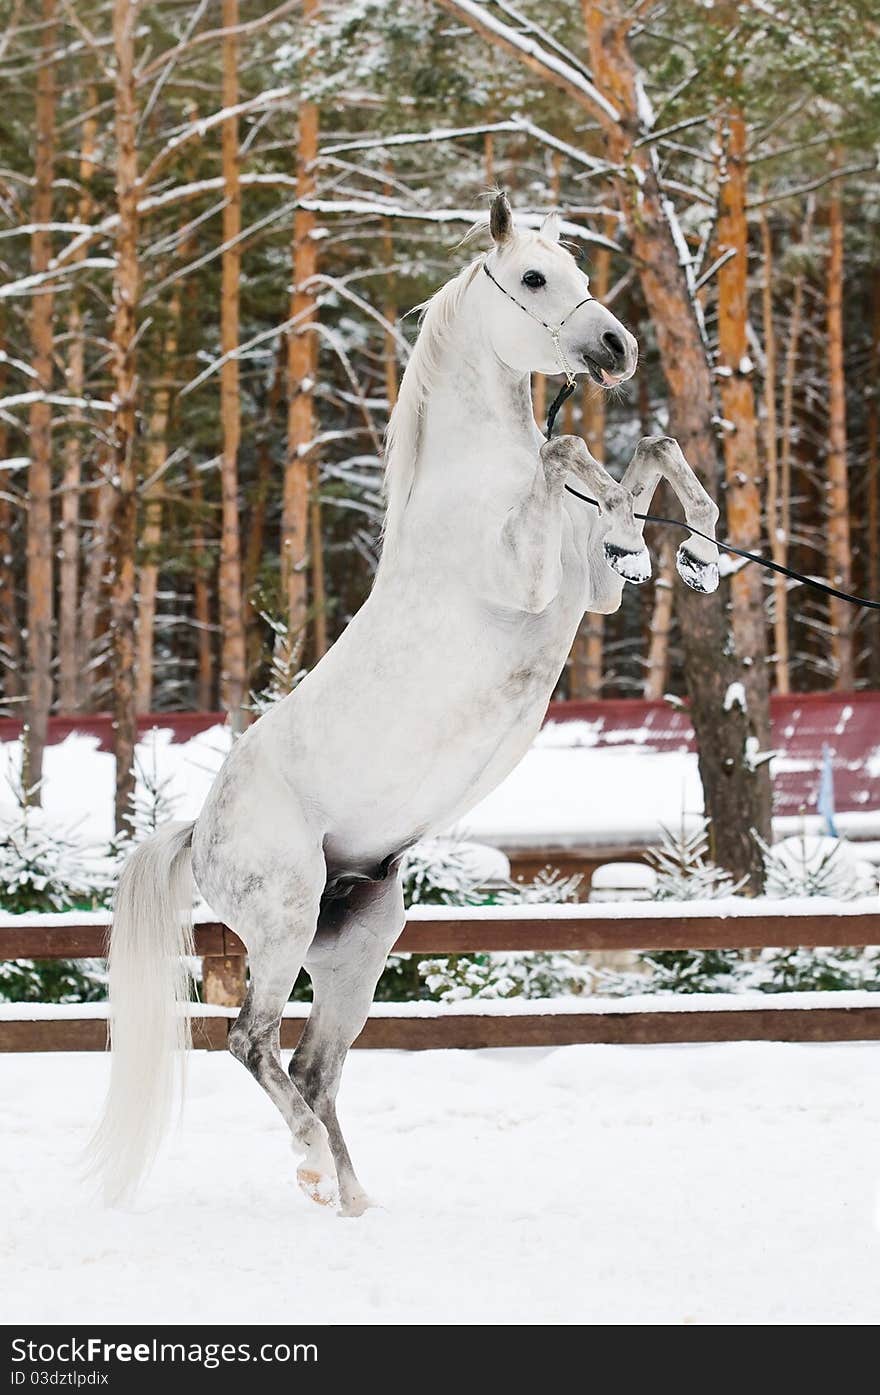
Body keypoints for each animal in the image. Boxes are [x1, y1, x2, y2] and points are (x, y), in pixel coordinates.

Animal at [92, 193, 719, 1210]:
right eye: (536, 276)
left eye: (579, 269)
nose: (618, 346)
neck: (478, 485)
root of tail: (200, 830)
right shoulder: (536, 581)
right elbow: (571, 448)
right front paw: (643, 531)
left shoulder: (588, 595)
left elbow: (647, 457)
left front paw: (696, 548)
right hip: (282, 922)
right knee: (251, 1041)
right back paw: (313, 1169)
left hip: (358, 939)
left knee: (314, 1065)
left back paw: (350, 1200)